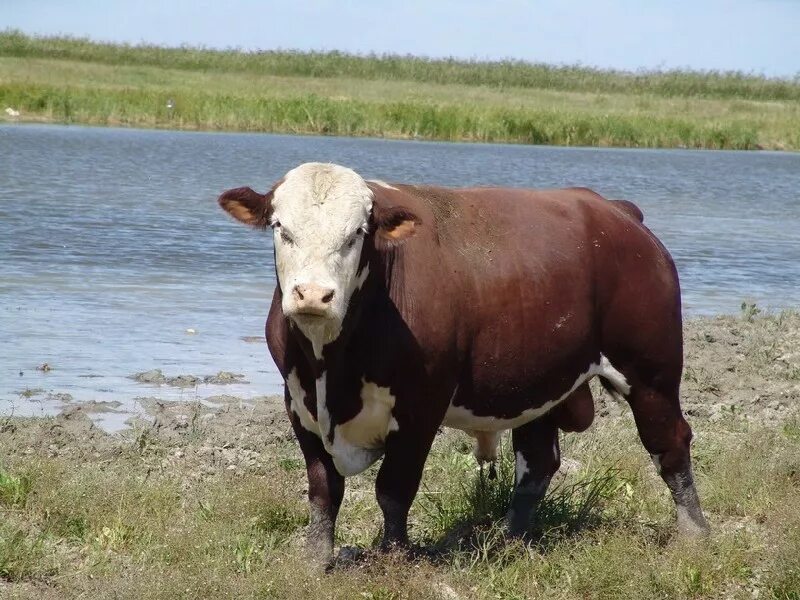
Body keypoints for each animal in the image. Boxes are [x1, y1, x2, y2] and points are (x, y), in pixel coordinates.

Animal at [217, 162, 708, 564]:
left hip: (651, 372)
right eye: (281, 227)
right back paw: (511, 542)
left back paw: (694, 533)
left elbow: (393, 490)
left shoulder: (420, 407)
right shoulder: (299, 405)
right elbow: (324, 489)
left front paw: (394, 557)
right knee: (537, 464)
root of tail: (615, 210)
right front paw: (315, 561)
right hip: (540, 385)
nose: (313, 295)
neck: (330, 367)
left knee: (670, 445)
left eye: (357, 233)